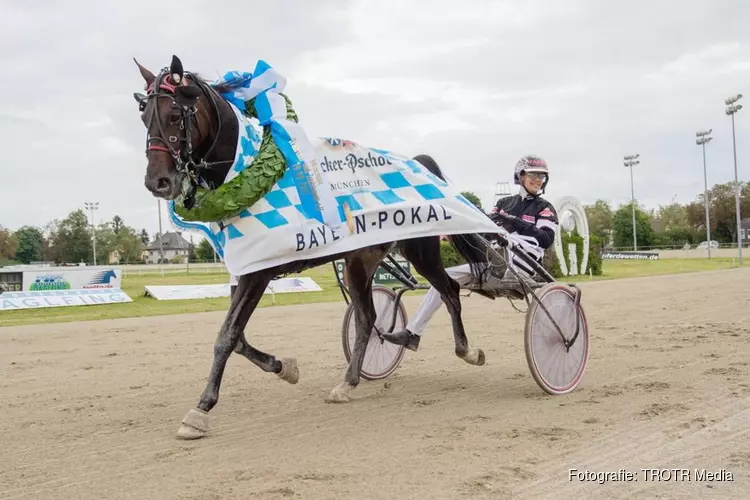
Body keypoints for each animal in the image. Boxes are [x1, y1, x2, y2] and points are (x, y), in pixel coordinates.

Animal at [134, 52, 500, 440]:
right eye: (144, 117)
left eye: (175, 116)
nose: (157, 182)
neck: (245, 171)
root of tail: (418, 162)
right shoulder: (244, 268)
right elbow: (241, 336)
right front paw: (284, 367)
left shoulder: (258, 273)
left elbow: (227, 336)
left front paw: (201, 409)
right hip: (360, 262)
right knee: (367, 318)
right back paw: (348, 383)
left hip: (420, 250)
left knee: (448, 291)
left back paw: (467, 351)